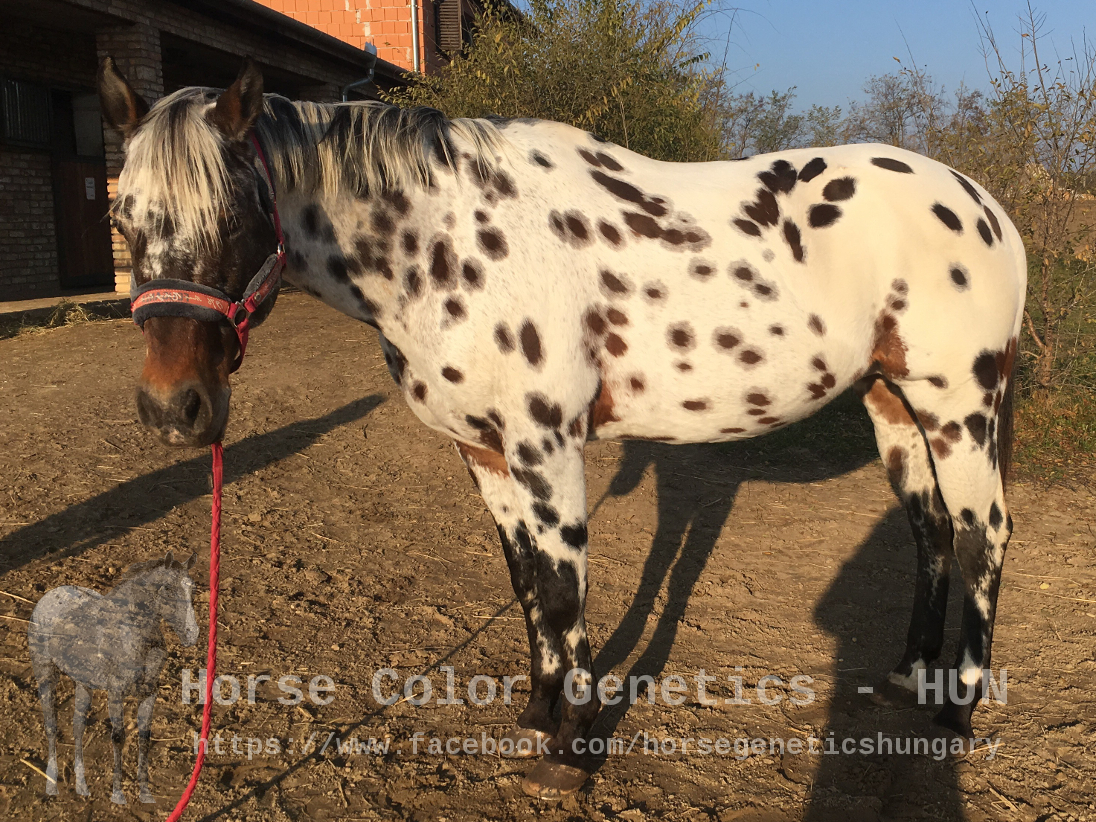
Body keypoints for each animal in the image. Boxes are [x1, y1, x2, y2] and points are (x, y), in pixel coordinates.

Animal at [28, 551, 198, 804]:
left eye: (192, 588)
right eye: (167, 589)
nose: (192, 634)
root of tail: (48, 597)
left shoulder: (149, 693)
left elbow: (144, 737)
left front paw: (145, 792)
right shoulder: (116, 693)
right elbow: (118, 737)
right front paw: (118, 794)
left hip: (83, 683)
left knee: (78, 726)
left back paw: (81, 785)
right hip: (45, 672)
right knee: (51, 724)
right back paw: (52, 782)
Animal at [97, 57, 1025, 798]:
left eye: (235, 214)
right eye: (122, 218)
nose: (174, 410)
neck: (446, 243)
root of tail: (984, 205)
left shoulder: (546, 447)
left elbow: (562, 588)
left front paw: (571, 749)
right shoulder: (484, 451)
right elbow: (523, 582)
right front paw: (539, 711)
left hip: (958, 407)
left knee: (982, 532)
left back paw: (958, 711)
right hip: (893, 402)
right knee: (930, 530)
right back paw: (909, 679)